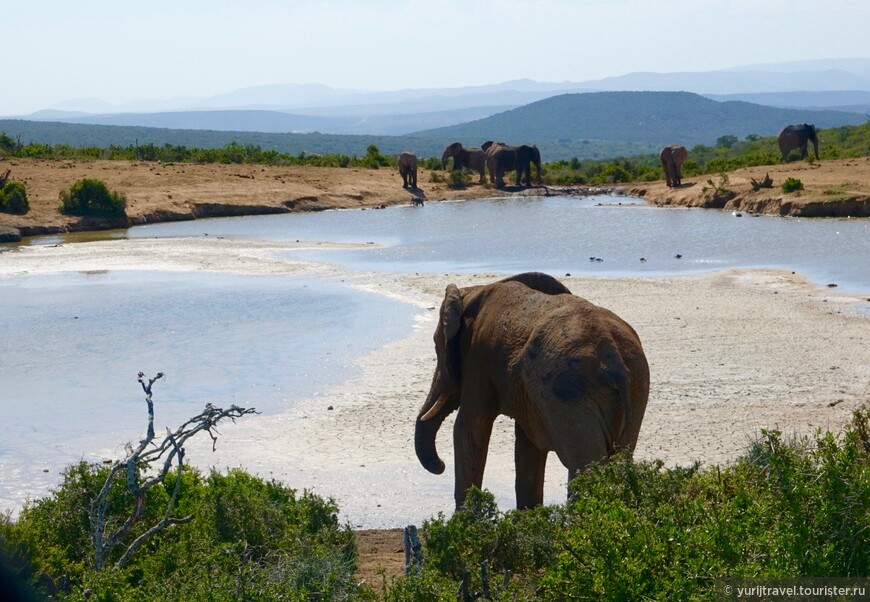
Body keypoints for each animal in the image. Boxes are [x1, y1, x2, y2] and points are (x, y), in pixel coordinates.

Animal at [414, 270, 648, 506]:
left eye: (436, 345)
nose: (440, 465)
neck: (473, 291)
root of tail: (612, 358)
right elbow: (528, 446)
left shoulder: (478, 360)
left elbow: (469, 427)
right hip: (636, 386)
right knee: (617, 457)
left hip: (569, 392)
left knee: (582, 463)